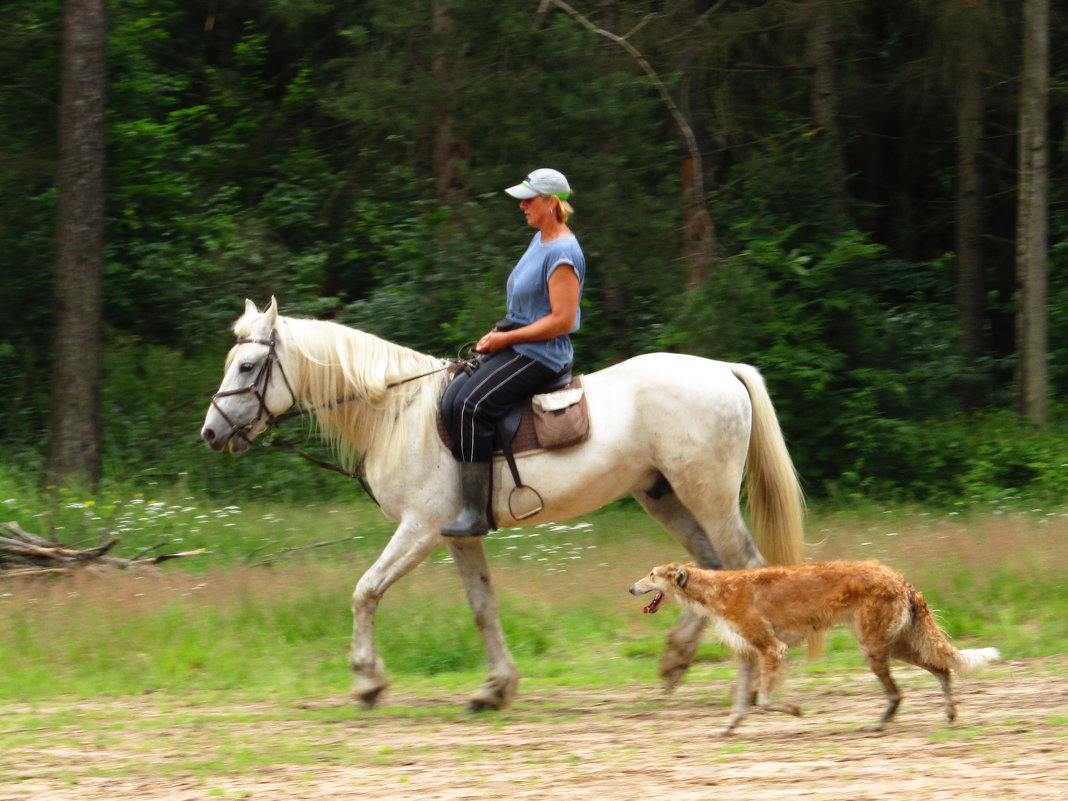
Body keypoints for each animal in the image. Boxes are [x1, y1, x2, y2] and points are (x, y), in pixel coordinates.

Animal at [200, 299, 803, 713]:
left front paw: (368, 681)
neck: (398, 413)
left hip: (709, 496)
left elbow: (365, 591)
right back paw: (676, 660)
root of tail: (722, 368)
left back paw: (752, 682)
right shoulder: (459, 535)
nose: (211, 432)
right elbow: (482, 609)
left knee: (743, 569)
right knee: (706, 573)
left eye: (248, 367)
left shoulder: (420, 530)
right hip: (666, 497)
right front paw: (494, 689)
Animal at [627, 559, 995, 739]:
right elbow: (742, 705)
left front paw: (794, 710)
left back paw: (877, 726)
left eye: (651, 574)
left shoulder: (772, 650)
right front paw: (728, 729)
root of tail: (900, 578)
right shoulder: (748, 656)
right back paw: (949, 713)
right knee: (942, 668)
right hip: (897, 645)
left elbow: (763, 701)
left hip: (875, 647)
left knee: (898, 693)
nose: (631, 588)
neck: (717, 589)